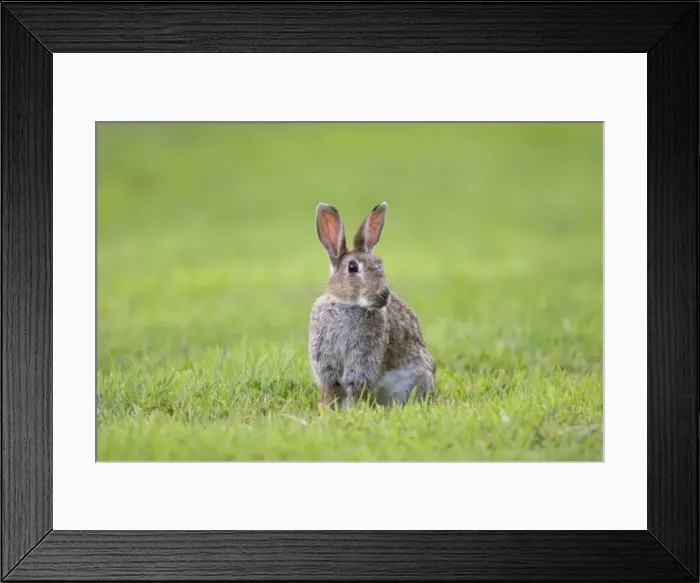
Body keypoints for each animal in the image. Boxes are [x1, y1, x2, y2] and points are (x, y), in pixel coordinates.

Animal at [308, 202, 436, 409]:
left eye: (380, 264)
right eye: (352, 267)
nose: (385, 294)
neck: (347, 305)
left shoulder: (362, 363)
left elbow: (356, 389)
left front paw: (354, 410)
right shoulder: (326, 366)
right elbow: (330, 391)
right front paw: (327, 411)